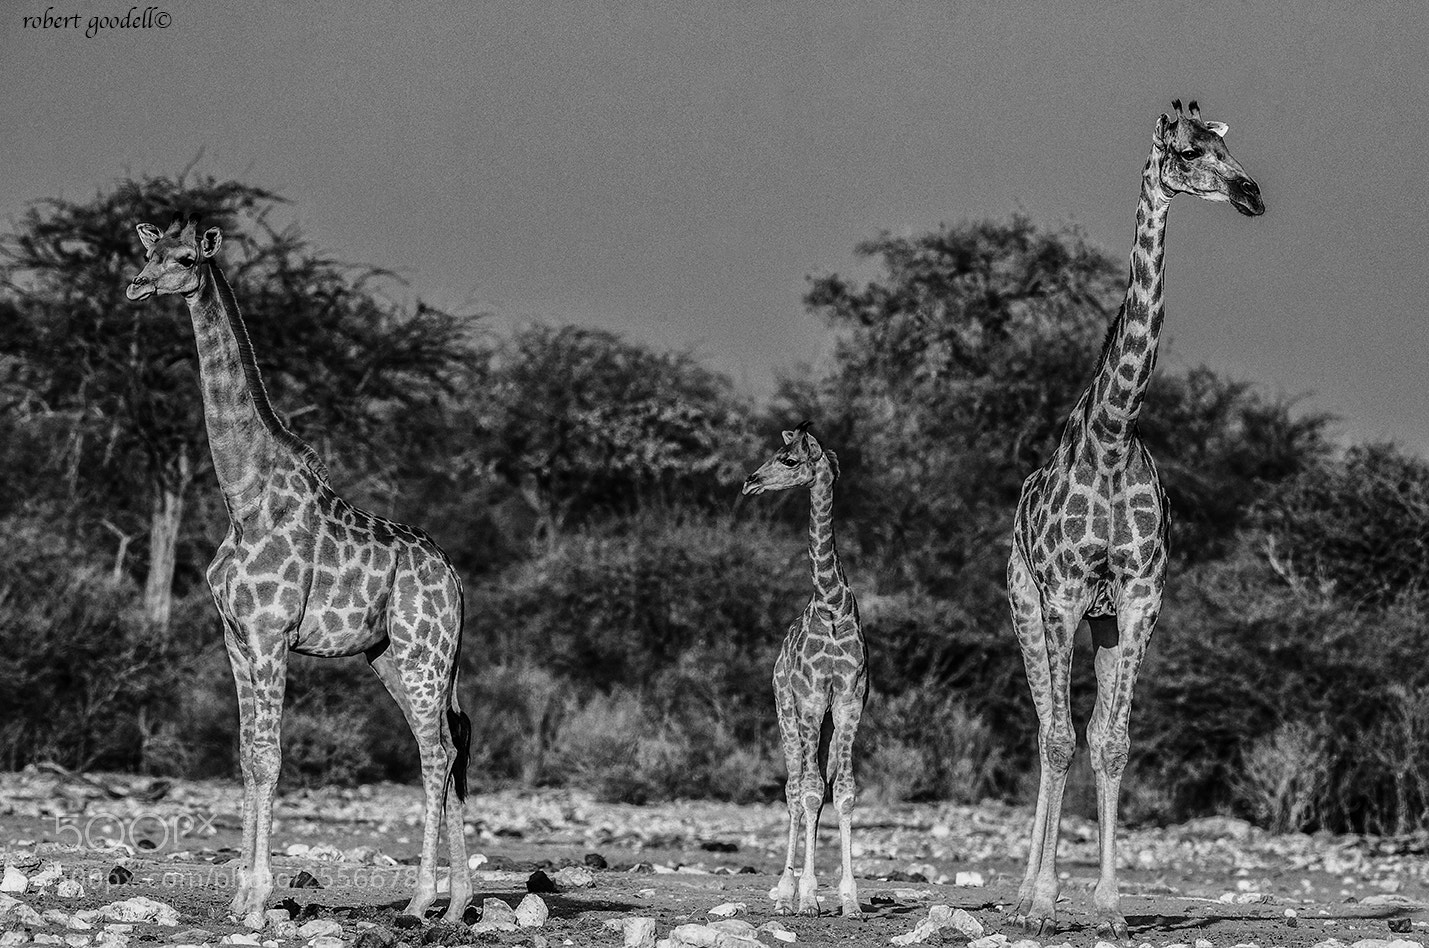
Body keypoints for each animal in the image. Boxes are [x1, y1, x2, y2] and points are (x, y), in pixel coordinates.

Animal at [125, 216, 472, 929]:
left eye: (183, 258)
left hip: (424, 653)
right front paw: (238, 900)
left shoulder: (271, 635)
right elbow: (245, 756)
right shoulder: (235, 637)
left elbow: (268, 755)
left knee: (436, 753)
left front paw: (258, 903)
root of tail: (455, 580)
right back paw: (458, 904)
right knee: (449, 749)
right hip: (391, 656)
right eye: (148, 249)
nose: (136, 285)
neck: (243, 499)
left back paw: (424, 900)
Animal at [742, 422, 868, 919]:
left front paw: (850, 899)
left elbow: (844, 791)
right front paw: (809, 896)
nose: (750, 482)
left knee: (812, 783)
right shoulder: (812, 698)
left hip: (820, 718)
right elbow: (811, 791)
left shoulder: (850, 699)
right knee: (795, 788)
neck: (832, 605)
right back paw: (784, 892)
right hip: (785, 709)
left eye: (789, 460)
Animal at [1007, 100, 1264, 937]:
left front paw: (1110, 909)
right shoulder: (1059, 593)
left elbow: (1112, 742)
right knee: (1044, 727)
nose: (1249, 192)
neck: (1114, 437)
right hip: (1025, 603)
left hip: (1104, 622)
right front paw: (1043, 905)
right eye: (1183, 152)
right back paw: (1023, 897)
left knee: (1083, 731)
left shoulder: (1141, 598)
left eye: (1224, 147)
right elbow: (1058, 737)